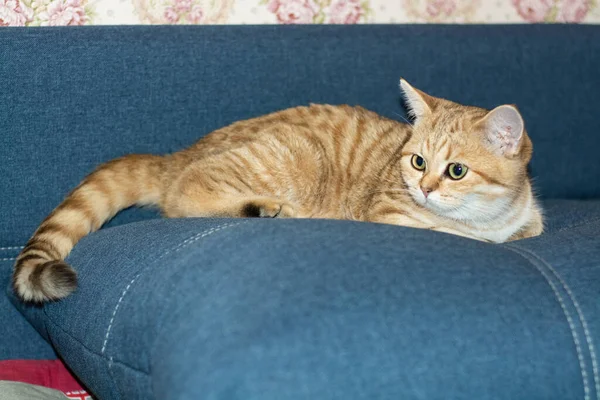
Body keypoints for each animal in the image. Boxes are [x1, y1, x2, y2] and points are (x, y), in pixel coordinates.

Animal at [11, 79, 544, 302]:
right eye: (418, 162)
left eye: (455, 170)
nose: (427, 187)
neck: (488, 217)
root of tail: (180, 153)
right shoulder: (394, 215)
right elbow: (452, 234)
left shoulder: (528, 218)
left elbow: (528, 228)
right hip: (288, 153)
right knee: (185, 192)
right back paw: (267, 208)